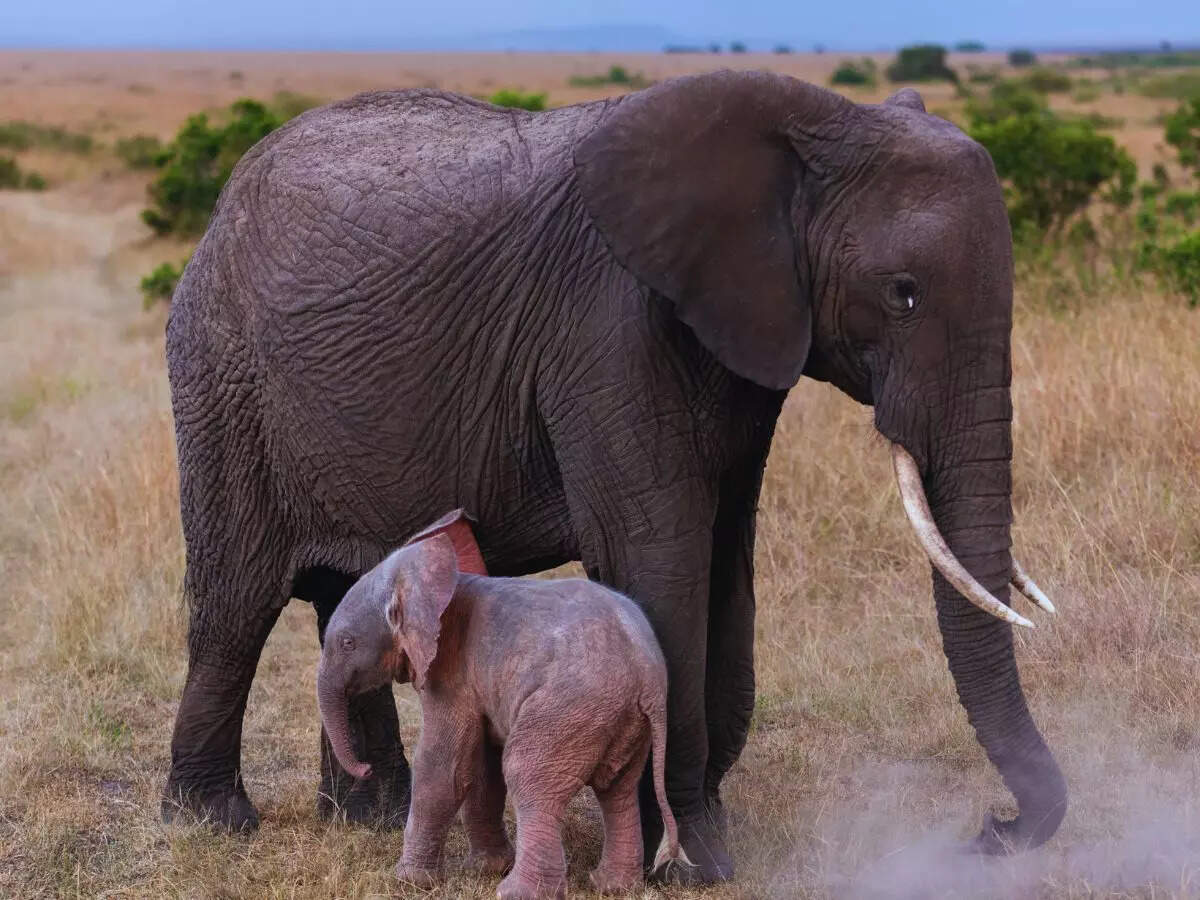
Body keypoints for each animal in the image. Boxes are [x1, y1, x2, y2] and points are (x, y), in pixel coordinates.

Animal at [316, 509, 683, 898]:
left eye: (347, 643)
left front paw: (408, 881)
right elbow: (480, 768)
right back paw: (611, 885)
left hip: (570, 709)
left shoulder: (450, 674)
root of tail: (646, 674)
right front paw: (484, 869)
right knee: (619, 790)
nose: (366, 768)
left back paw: (517, 892)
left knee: (529, 776)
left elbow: (442, 768)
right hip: (621, 719)